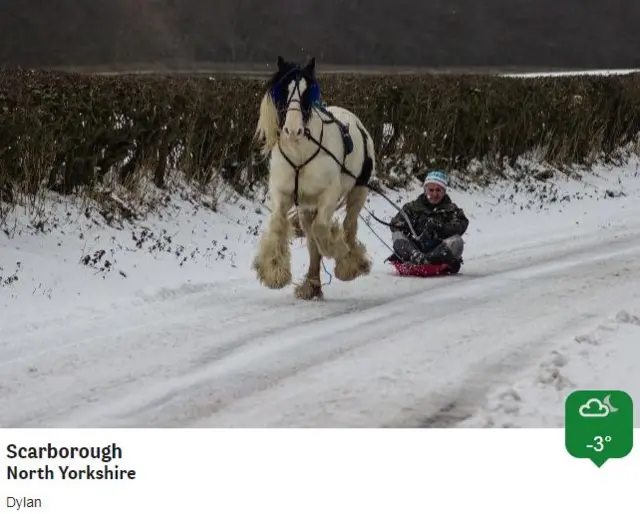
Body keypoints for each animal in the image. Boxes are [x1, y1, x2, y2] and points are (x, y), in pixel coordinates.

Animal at [252, 55, 378, 300]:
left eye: (306, 92)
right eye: (284, 89)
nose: (292, 131)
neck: (300, 152)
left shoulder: (328, 194)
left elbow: (322, 230)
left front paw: (339, 251)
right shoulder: (282, 193)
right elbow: (279, 224)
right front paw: (274, 273)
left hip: (358, 192)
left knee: (349, 226)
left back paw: (350, 263)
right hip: (306, 206)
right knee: (312, 241)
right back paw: (312, 284)